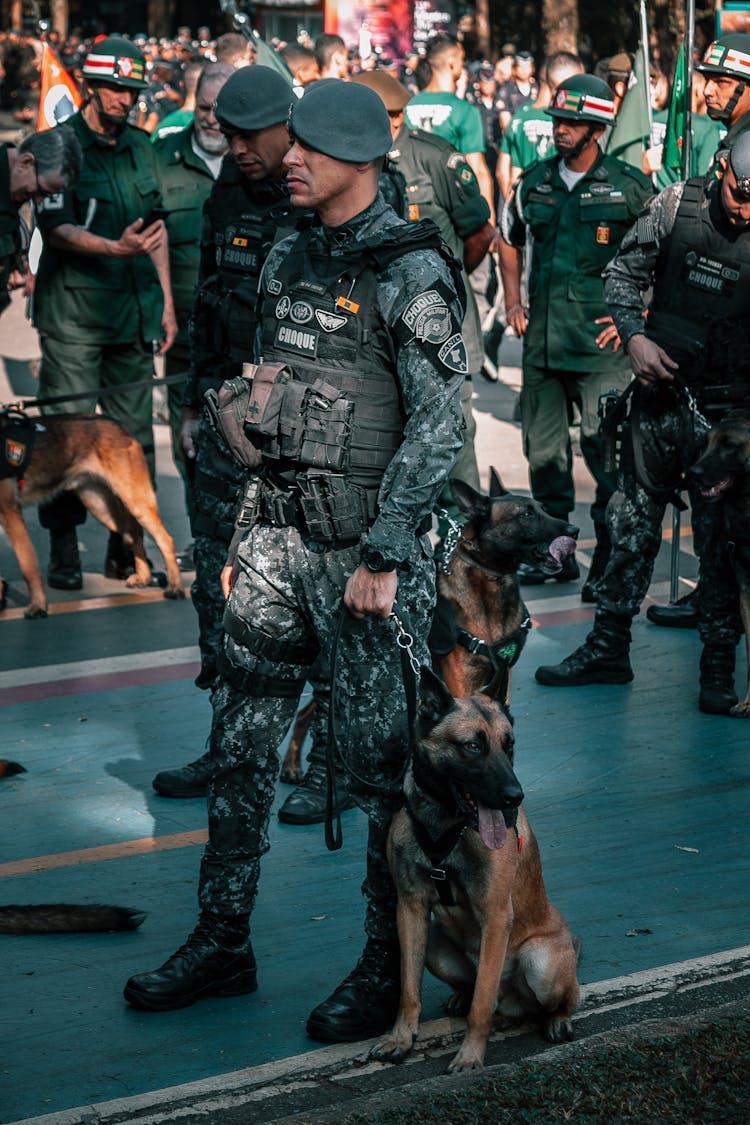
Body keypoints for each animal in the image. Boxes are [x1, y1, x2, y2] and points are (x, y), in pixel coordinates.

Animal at [0, 411, 185, 621]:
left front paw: (38, 606)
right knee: (134, 535)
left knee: (164, 539)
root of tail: (117, 424)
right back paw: (143, 577)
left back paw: (175, 586)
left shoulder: (11, 513)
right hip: (101, 508)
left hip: (136, 502)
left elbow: (28, 566)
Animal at [373, 666, 584, 1071]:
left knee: (565, 996)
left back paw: (558, 1020)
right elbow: (409, 989)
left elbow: (481, 1007)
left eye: (509, 744)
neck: (446, 825)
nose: (515, 797)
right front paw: (400, 1038)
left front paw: (470, 1055)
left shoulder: (496, 915)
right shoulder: (410, 909)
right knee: (470, 986)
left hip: (542, 965)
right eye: (473, 746)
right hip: (435, 948)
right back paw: (459, 997)